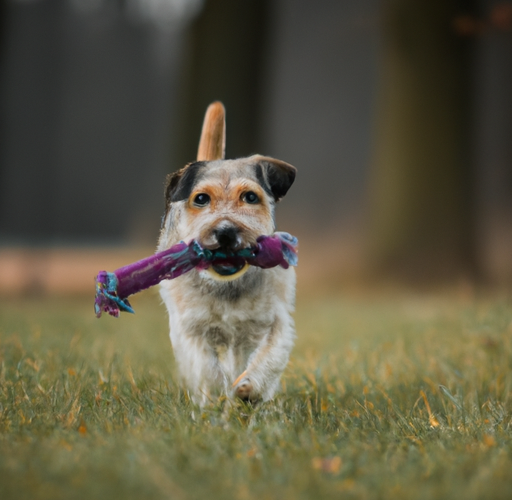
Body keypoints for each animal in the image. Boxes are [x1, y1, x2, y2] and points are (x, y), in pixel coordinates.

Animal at [158, 102, 298, 406]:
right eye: (201, 198)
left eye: (250, 196)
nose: (225, 232)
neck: (227, 287)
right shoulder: (190, 328)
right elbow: (205, 366)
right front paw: (215, 395)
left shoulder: (276, 322)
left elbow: (269, 357)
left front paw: (249, 388)